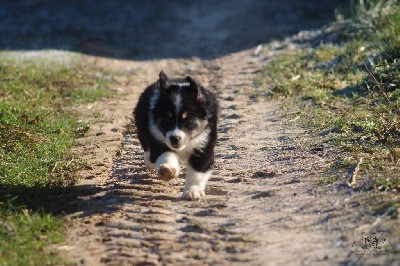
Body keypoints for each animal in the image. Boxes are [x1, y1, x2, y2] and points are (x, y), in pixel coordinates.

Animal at [136, 70, 220, 200]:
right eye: (167, 119)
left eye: (187, 120)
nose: (174, 138)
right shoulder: (158, 141)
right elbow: (166, 155)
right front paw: (167, 171)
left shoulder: (204, 146)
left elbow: (197, 172)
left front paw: (192, 192)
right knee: (148, 152)